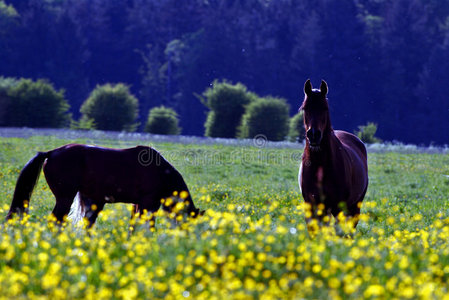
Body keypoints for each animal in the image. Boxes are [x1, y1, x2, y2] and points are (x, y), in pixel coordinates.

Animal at [4, 144, 201, 229]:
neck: (161, 172)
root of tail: (50, 153)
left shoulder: (138, 204)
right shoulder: (149, 204)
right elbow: (148, 226)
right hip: (65, 198)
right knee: (56, 220)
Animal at [298, 79, 368, 232]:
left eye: (325, 108)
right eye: (305, 108)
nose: (314, 135)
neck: (320, 165)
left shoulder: (337, 208)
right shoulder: (312, 207)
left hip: (354, 207)